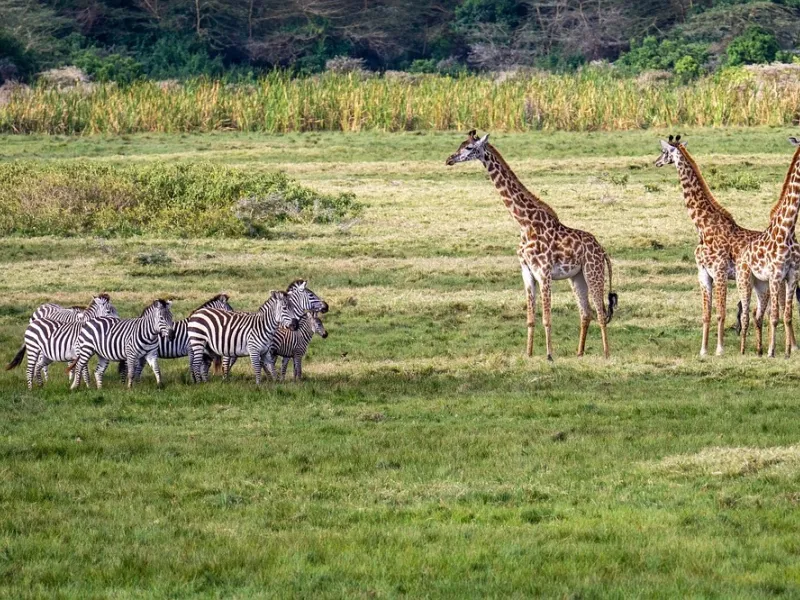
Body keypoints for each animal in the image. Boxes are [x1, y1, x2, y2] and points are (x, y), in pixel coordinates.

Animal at [446, 130, 617, 360]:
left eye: (469, 148)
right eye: (460, 144)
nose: (449, 159)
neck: (524, 223)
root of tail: (603, 250)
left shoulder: (543, 271)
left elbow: (546, 317)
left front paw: (550, 355)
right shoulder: (526, 271)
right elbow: (530, 318)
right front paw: (528, 353)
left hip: (593, 272)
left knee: (599, 312)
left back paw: (606, 354)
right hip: (576, 277)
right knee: (585, 312)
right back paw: (579, 353)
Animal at [735, 137, 800, 358]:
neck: (788, 229)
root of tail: (741, 254)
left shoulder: (793, 275)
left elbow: (787, 315)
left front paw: (787, 352)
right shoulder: (776, 275)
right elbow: (775, 317)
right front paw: (773, 351)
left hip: (761, 285)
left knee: (757, 313)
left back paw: (759, 349)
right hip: (744, 280)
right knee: (746, 314)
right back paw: (744, 350)